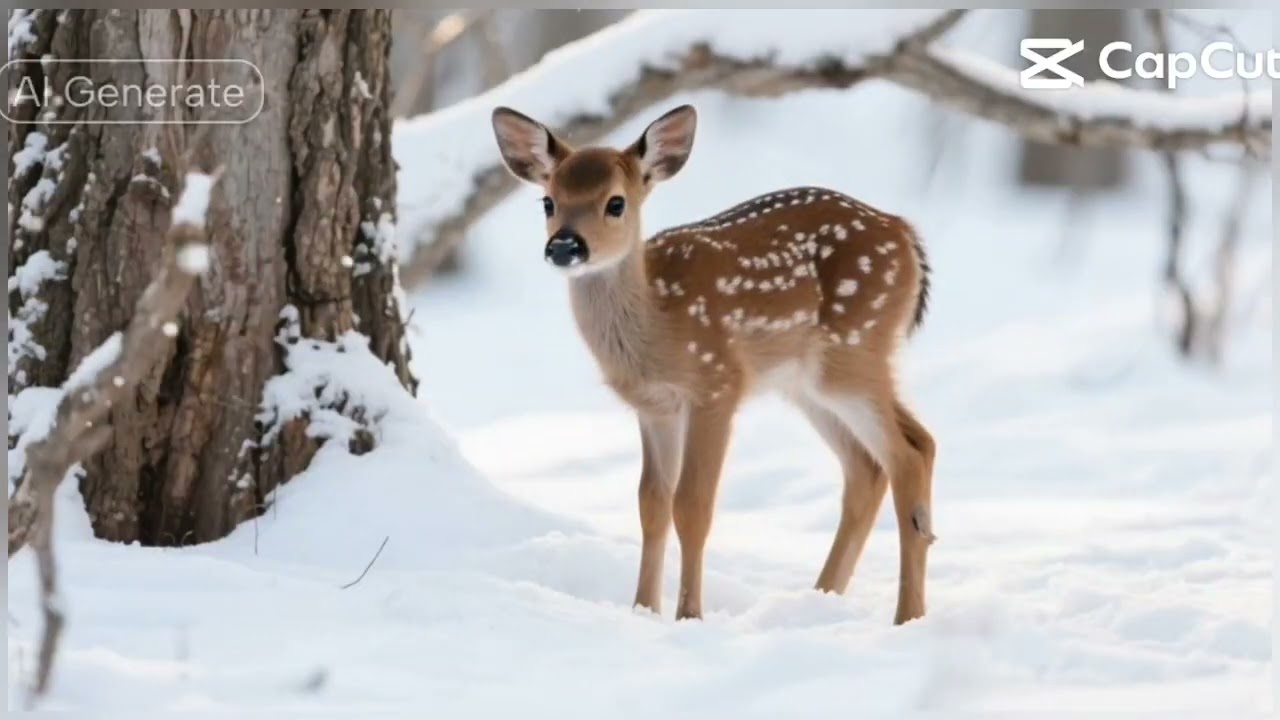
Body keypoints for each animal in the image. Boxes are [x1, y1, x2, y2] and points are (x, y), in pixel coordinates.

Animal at [491, 103, 937, 625]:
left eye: (616, 203)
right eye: (547, 201)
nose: (564, 247)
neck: (658, 325)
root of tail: (905, 233)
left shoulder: (717, 383)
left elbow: (693, 505)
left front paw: (689, 616)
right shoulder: (655, 407)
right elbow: (652, 503)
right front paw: (643, 609)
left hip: (852, 351)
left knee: (904, 458)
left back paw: (904, 616)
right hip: (809, 381)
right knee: (886, 459)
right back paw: (821, 597)